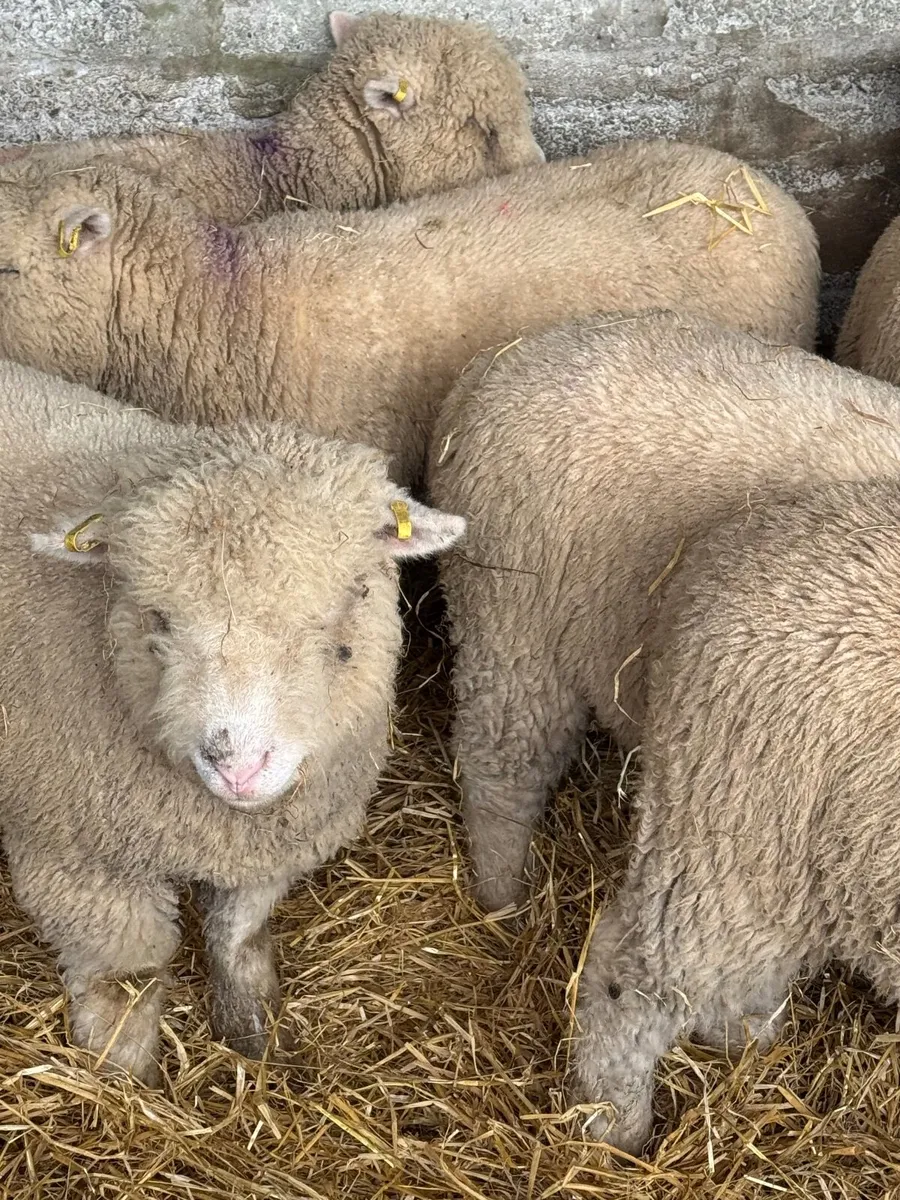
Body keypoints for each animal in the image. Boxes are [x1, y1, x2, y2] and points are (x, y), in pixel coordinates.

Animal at [0, 358, 465, 1085]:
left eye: (357, 594)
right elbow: (126, 983)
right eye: (156, 617)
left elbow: (237, 935)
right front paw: (125, 1089)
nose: (237, 764)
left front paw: (251, 1032)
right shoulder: (74, 859)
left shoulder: (266, 845)